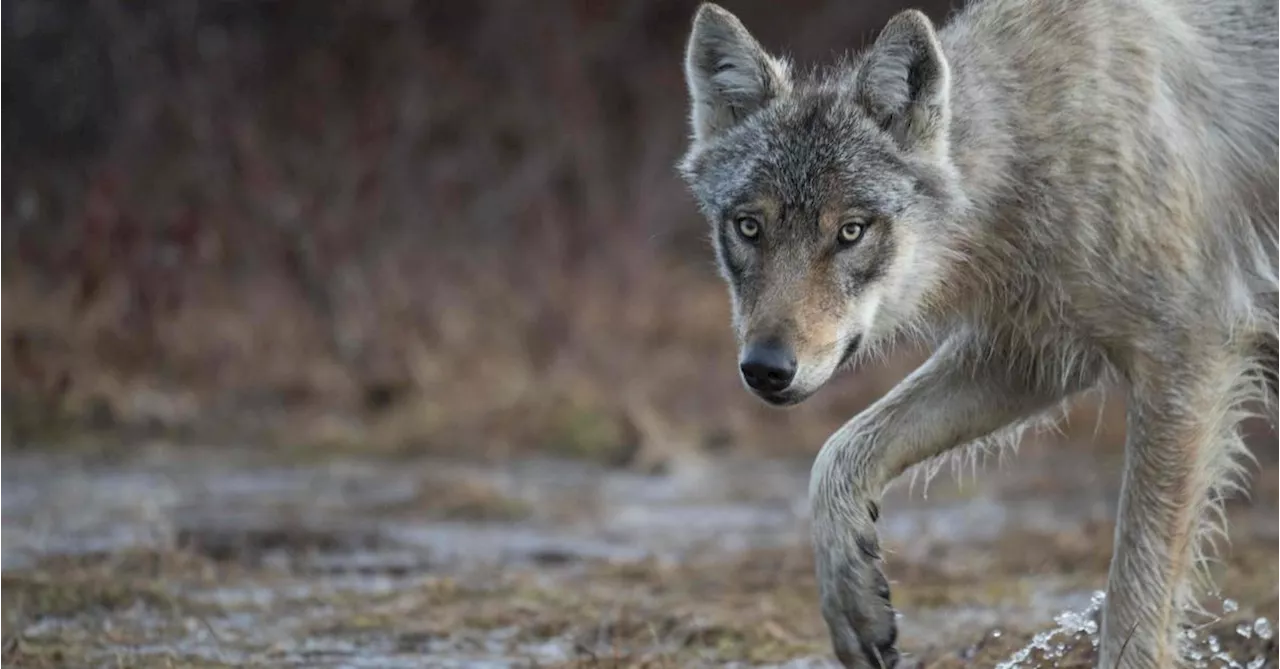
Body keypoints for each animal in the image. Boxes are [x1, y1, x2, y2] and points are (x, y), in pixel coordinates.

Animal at [675, 0, 1280, 665]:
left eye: (851, 231)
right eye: (748, 227)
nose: (765, 367)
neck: (1038, 146)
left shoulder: (1187, 360)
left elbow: (1135, 598)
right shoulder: (1031, 355)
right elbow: (836, 455)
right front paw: (854, 605)